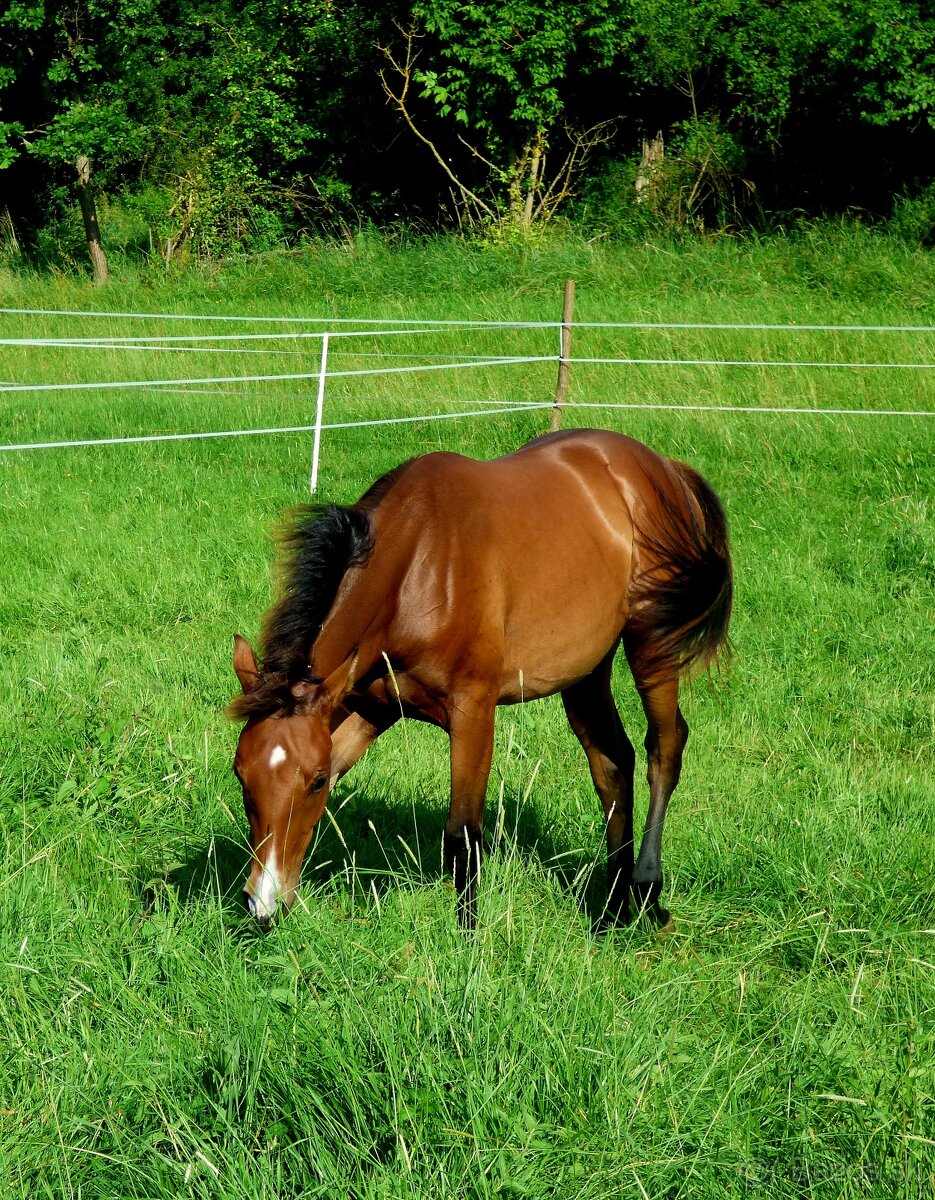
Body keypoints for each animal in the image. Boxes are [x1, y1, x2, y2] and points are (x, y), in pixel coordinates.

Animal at [228, 427, 729, 931]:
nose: (261, 905)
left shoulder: (473, 713)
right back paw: (611, 907)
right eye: (241, 774)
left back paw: (645, 888)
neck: (418, 565)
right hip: (587, 672)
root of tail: (664, 468)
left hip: (652, 646)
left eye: (312, 781)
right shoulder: (372, 709)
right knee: (612, 761)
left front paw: (468, 941)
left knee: (664, 748)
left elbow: (463, 836)